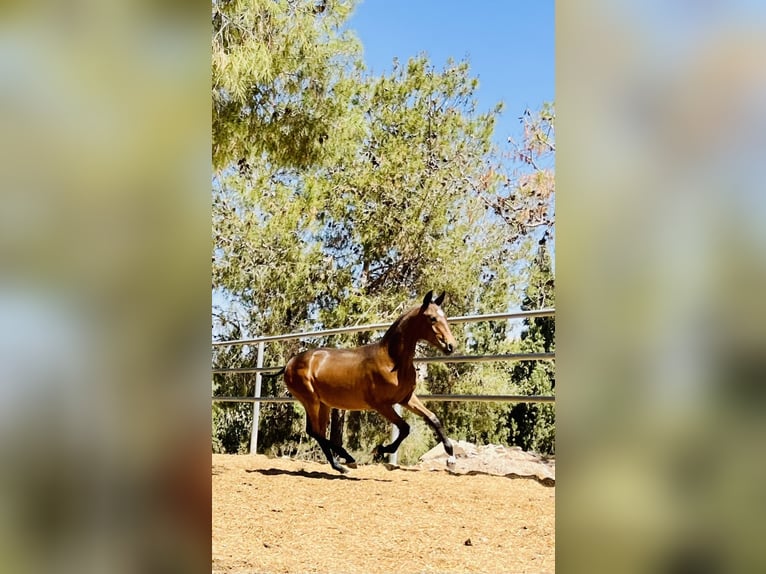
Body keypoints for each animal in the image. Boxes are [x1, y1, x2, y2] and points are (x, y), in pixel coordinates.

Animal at [284, 294, 460, 474]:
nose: (451, 346)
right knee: (315, 432)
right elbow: (405, 428)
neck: (392, 362)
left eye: (445, 316)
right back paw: (346, 461)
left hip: (323, 404)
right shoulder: (381, 405)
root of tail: (289, 363)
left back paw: (342, 464)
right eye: (432, 318)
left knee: (316, 431)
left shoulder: (406, 398)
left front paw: (450, 451)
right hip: (310, 400)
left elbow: (432, 418)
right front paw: (381, 449)